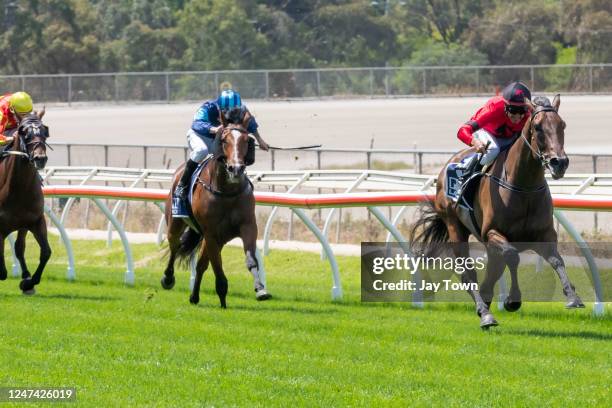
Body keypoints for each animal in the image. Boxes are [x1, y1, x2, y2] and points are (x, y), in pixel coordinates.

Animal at [0, 111, 51, 294]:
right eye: (24, 132)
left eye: (45, 131)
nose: (40, 158)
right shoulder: (1, 226)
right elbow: (2, 270)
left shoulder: (35, 220)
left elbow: (46, 252)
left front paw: (28, 282)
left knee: (19, 247)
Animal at [160, 110, 270, 308]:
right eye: (225, 140)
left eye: (246, 140)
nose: (236, 168)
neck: (227, 192)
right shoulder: (211, 233)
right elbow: (217, 268)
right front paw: (223, 298)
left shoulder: (247, 226)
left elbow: (251, 260)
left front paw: (260, 289)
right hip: (175, 223)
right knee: (174, 246)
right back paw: (168, 278)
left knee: (200, 264)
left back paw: (194, 296)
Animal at [412, 95, 584, 328]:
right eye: (538, 127)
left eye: (562, 125)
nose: (560, 163)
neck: (523, 186)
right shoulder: (492, 233)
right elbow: (512, 256)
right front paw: (512, 300)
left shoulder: (544, 234)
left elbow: (557, 260)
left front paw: (573, 296)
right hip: (455, 227)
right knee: (469, 274)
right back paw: (485, 313)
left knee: (491, 274)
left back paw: (485, 303)